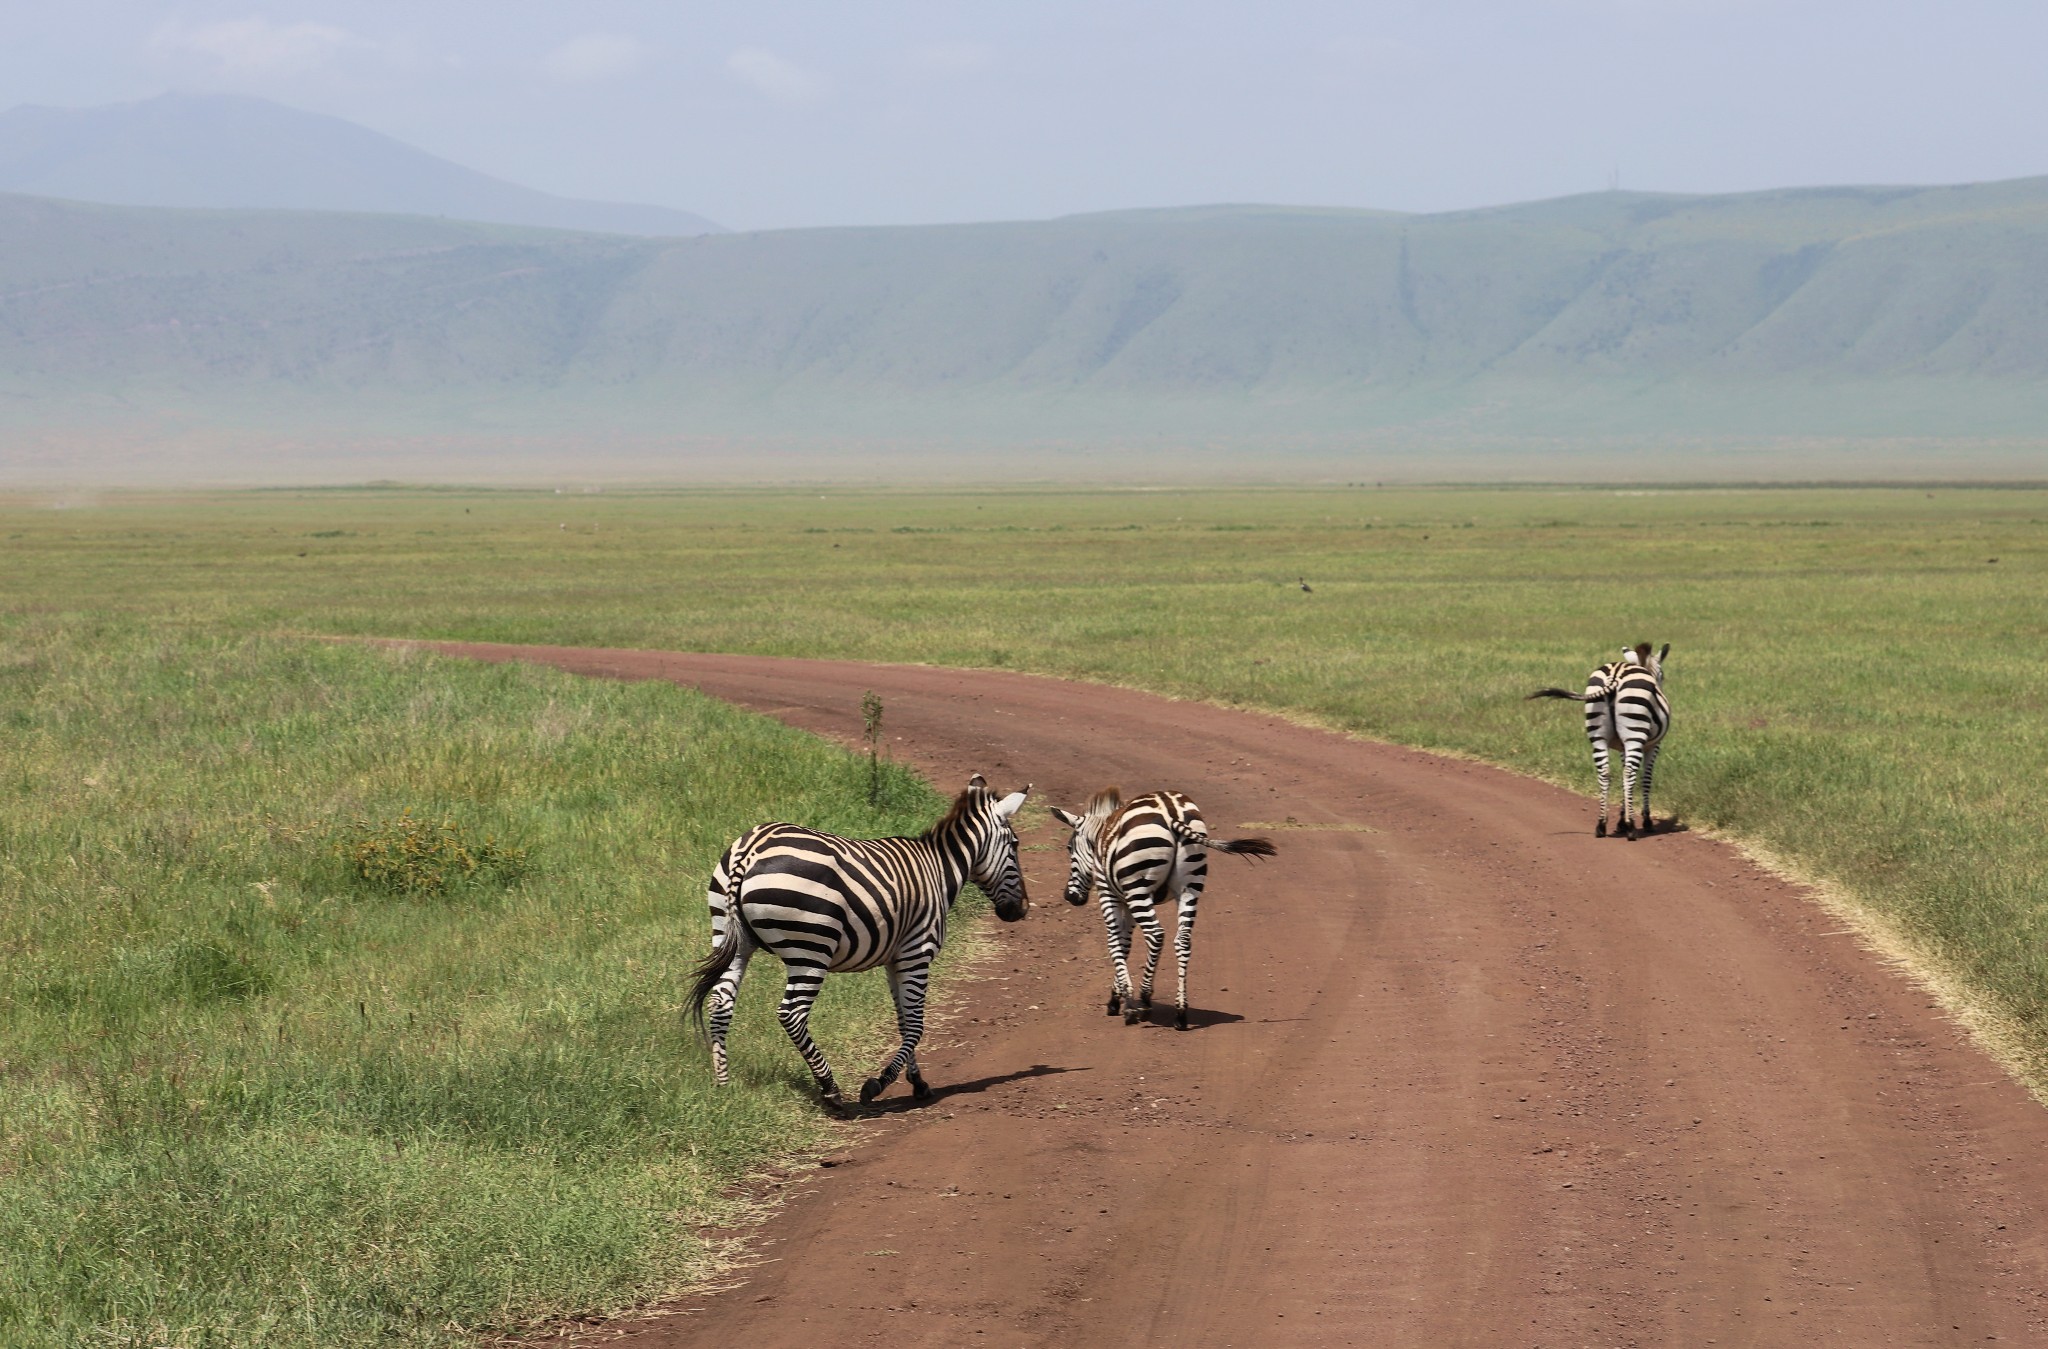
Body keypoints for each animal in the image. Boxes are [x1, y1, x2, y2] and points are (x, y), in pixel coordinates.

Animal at [692, 773, 1040, 1113]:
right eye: (1015, 845)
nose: (1021, 910)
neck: (940, 869)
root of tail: (750, 849)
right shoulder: (917, 953)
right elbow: (916, 1025)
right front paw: (878, 1084)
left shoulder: (894, 959)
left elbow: (903, 1021)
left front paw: (918, 1083)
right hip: (811, 949)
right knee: (791, 1014)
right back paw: (830, 1089)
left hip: (730, 936)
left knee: (721, 1003)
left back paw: (723, 1084)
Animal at [1048, 790, 1269, 1035]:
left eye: (1069, 848)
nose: (1070, 897)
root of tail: (1172, 812)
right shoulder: (1126, 899)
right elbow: (1125, 944)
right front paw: (1117, 996)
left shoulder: (1109, 893)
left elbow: (1115, 943)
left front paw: (1124, 1002)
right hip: (1189, 886)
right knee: (1182, 940)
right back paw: (1180, 1013)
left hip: (1139, 889)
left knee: (1156, 934)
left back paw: (1145, 1001)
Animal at [1531, 646, 1671, 843]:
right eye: (1662, 675)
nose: (1660, 685)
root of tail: (1615, 675)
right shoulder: (1653, 746)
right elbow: (1645, 779)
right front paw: (1645, 821)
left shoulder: (1622, 748)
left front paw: (1621, 821)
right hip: (1634, 733)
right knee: (1629, 774)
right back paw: (1631, 828)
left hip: (1598, 734)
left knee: (1604, 772)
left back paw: (1601, 825)